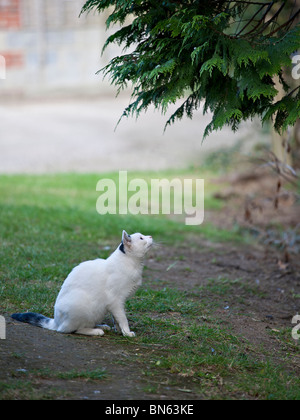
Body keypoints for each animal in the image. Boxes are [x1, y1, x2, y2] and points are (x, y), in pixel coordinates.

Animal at [12, 231, 152, 336]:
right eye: (141, 238)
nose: (150, 236)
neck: (133, 264)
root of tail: (56, 321)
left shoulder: (115, 304)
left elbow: (116, 319)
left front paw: (119, 330)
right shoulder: (116, 301)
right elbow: (123, 318)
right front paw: (127, 332)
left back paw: (102, 326)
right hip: (81, 305)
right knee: (69, 330)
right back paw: (96, 331)